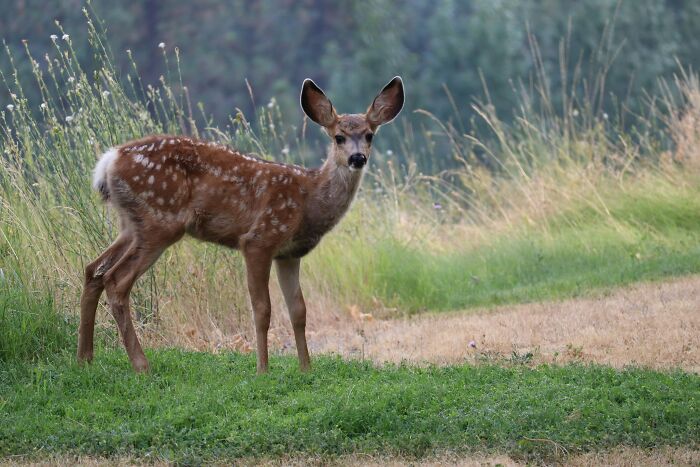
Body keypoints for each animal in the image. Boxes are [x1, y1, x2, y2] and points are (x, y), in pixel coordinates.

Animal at [77, 77, 404, 373]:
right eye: (338, 136)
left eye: (369, 135)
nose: (357, 158)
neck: (308, 199)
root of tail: (109, 161)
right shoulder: (259, 239)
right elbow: (263, 309)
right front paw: (263, 369)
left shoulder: (289, 254)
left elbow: (298, 310)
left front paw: (306, 369)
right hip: (160, 221)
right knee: (116, 280)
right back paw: (141, 365)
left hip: (131, 224)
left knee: (94, 270)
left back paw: (86, 358)